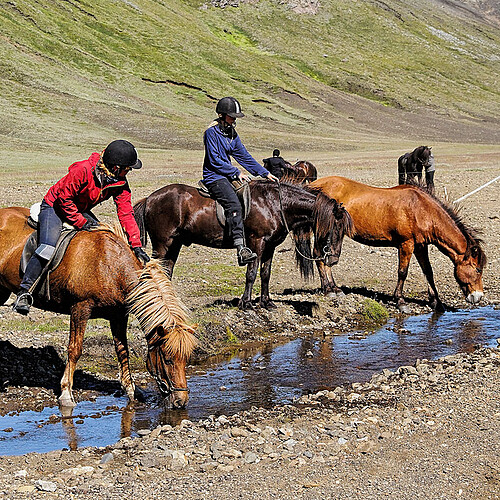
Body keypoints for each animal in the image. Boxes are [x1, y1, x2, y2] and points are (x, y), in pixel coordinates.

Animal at [0, 206, 196, 406]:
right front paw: (66, 393)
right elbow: (75, 349)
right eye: (167, 359)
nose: (181, 401)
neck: (110, 266)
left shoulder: (119, 315)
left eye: (185, 359)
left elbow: (122, 350)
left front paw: (131, 390)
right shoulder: (80, 309)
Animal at [133, 182, 352, 310]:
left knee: (166, 271)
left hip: (174, 244)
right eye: (335, 228)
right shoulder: (257, 242)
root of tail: (150, 198)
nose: (333, 259)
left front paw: (266, 302)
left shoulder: (270, 246)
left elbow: (265, 273)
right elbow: (251, 273)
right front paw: (246, 303)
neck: (275, 204)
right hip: (163, 244)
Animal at [308, 177, 484, 312]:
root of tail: (313, 185)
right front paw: (400, 301)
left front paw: (436, 302)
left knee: (324, 258)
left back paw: (334, 288)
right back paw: (328, 289)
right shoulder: (406, 244)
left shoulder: (421, 246)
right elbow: (402, 272)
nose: (478, 297)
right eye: (477, 269)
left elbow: (428, 272)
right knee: (318, 255)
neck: (422, 209)